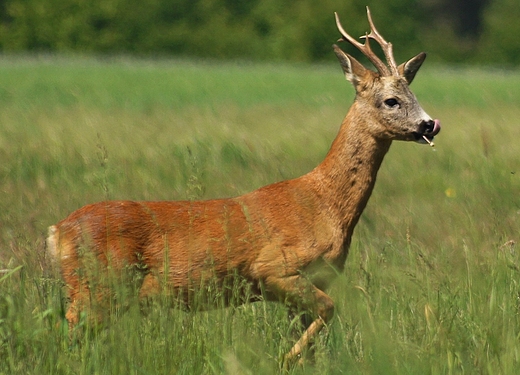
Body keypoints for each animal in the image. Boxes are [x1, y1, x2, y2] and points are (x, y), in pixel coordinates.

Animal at [46, 7, 440, 368]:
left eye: (414, 94)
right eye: (391, 100)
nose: (430, 125)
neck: (325, 203)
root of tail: (56, 232)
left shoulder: (315, 280)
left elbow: (314, 339)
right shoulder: (275, 269)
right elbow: (329, 311)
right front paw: (282, 359)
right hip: (96, 289)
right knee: (67, 341)